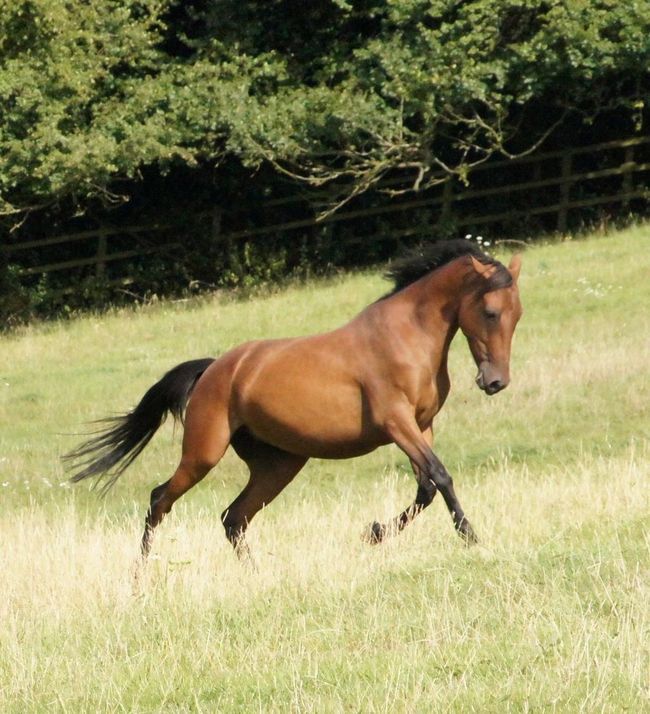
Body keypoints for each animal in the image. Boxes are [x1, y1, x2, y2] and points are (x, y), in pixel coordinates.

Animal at [66, 242, 520, 560]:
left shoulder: (422, 424)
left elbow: (426, 488)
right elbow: (441, 477)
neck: (405, 336)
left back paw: (253, 573)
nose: (496, 382)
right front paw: (471, 537)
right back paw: (141, 572)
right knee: (160, 499)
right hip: (203, 453)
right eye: (491, 312)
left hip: (279, 464)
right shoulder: (397, 423)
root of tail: (214, 369)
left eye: (517, 315)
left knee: (233, 517)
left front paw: (373, 532)